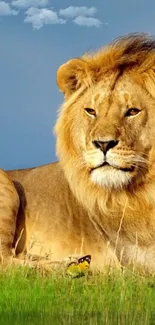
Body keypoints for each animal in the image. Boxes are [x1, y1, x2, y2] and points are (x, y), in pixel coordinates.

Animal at [0, 33, 155, 270]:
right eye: (91, 111)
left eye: (133, 111)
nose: (103, 144)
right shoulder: (135, 255)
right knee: (7, 263)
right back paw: (73, 266)